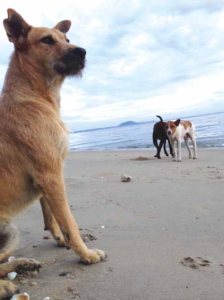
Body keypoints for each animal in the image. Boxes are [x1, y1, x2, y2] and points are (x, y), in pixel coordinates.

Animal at [0, 9, 107, 300]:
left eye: (66, 38)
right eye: (46, 40)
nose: (82, 51)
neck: (34, 94)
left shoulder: (47, 177)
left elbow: (51, 214)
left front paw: (59, 238)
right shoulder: (51, 175)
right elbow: (70, 221)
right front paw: (85, 254)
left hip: (10, 231)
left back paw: (22, 266)